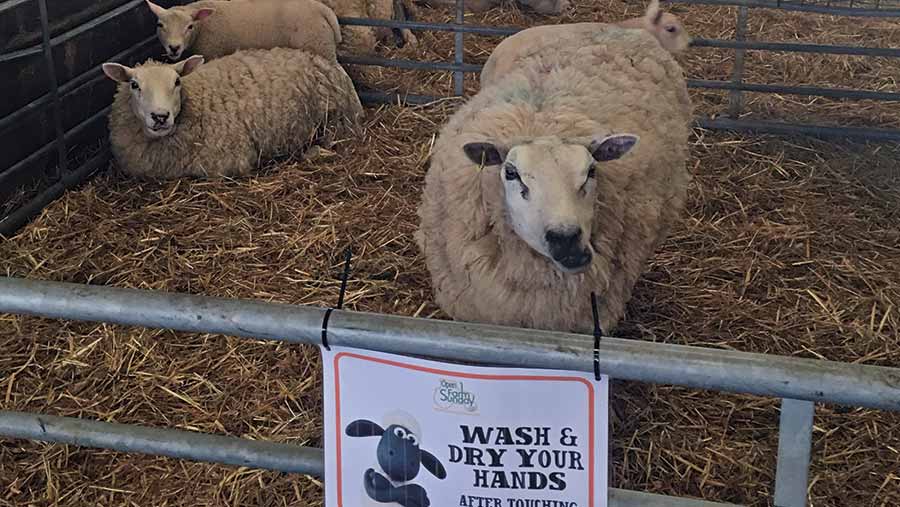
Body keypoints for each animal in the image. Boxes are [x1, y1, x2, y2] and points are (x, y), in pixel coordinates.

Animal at [101, 46, 362, 181]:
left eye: (177, 82)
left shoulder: (230, 163)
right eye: (134, 85)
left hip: (338, 120)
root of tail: (324, 60)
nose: (160, 116)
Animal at [146, 0, 342, 62]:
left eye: (189, 26)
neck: (203, 26)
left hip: (320, 45)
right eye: (160, 25)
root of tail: (320, 8)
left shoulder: (212, 52)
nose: (174, 48)